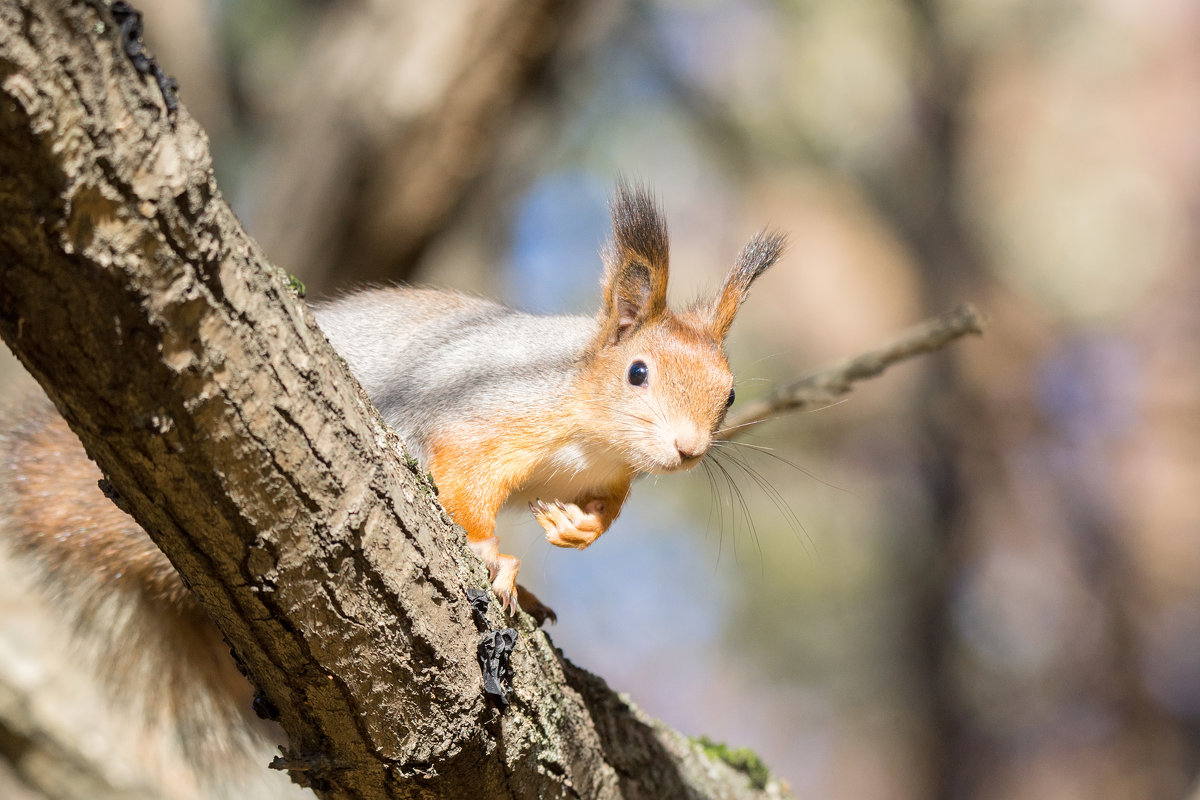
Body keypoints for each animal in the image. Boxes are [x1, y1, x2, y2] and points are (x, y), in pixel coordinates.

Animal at [0, 183, 782, 777]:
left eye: (729, 394)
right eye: (637, 372)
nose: (687, 449)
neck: (592, 434)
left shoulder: (612, 476)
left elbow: (602, 511)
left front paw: (574, 528)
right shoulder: (484, 419)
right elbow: (465, 483)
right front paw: (494, 557)